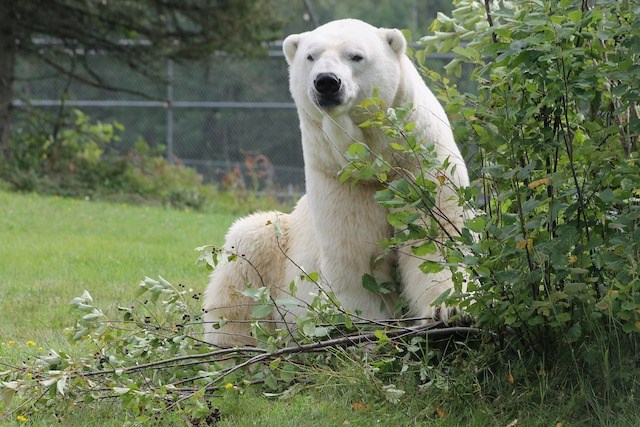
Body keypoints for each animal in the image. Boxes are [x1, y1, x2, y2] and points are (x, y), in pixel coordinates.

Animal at [204, 19, 470, 348]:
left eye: (356, 56)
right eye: (311, 56)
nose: (327, 82)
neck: (375, 161)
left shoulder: (420, 161)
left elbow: (435, 238)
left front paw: (450, 311)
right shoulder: (339, 178)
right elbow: (356, 255)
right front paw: (363, 331)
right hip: (274, 247)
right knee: (244, 257)